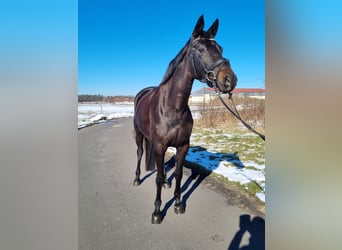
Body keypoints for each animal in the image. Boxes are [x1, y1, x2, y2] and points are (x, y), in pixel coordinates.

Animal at [132, 14, 236, 224]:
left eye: (220, 48)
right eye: (201, 49)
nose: (230, 79)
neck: (173, 107)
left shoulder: (182, 146)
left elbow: (179, 174)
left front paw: (178, 204)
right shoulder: (159, 145)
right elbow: (157, 177)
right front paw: (157, 211)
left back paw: (166, 182)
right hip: (140, 135)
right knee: (139, 153)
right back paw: (137, 179)